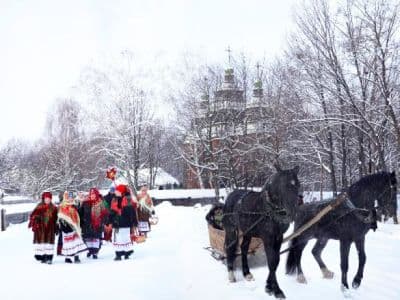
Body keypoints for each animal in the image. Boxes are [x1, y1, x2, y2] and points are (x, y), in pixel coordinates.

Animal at [223, 165, 298, 298]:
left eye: (298, 184)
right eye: (283, 185)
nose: (294, 209)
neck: (270, 210)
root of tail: (231, 195)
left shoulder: (278, 237)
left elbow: (276, 261)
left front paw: (268, 286)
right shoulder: (268, 239)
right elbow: (272, 262)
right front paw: (276, 290)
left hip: (247, 231)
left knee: (243, 248)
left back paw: (246, 273)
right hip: (231, 230)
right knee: (230, 248)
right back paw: (231, 274)